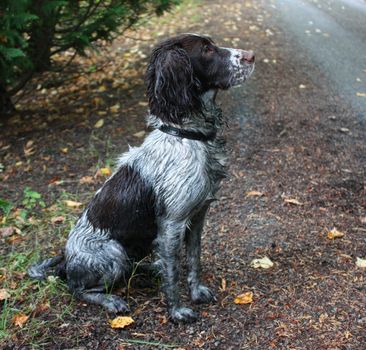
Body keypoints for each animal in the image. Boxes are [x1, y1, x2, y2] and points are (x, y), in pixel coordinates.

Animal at [28, 34, 254, 324]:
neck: (186, 136)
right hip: (114, 253)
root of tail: (66, 262)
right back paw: (111, 300)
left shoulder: (198, 217)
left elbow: (194, 260)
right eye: (206, 50)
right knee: (76, 288)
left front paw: (196, 291)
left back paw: (149, 268)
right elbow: (173, 274)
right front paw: (177, 311)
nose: (251, 55)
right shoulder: (172, 224)